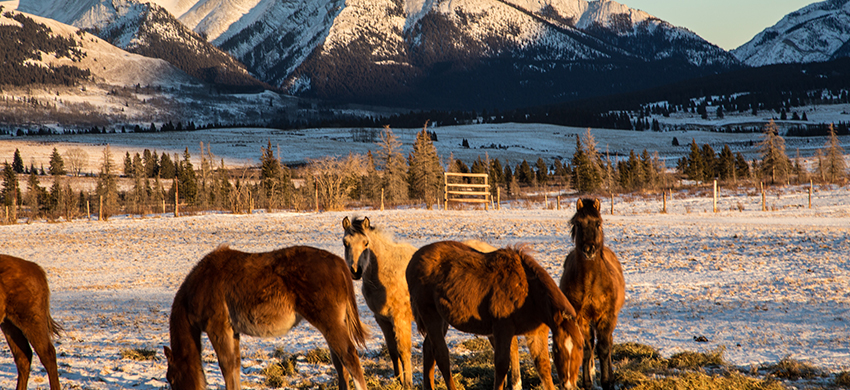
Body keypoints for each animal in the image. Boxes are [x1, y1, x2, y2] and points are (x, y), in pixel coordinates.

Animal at [164, 247, 366, 390]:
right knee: (341, 365)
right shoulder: (233, 331)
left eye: (171, 379)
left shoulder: (218, 329)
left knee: (350, 358)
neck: (200, 286)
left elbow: (226, 366)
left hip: (330, 325)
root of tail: (339, 263)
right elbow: (235, 365)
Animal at [340, 216, 416, 386]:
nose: (355, 271)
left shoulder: (400, 319)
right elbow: (393, 351)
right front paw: (398, 380)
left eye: (366, 243)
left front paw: (408, 383)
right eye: (345, 242)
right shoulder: (383, 319)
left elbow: (403, 351)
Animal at [406, 241, 584, 390]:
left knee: (428, 349)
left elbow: (543, 366)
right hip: (430, 315)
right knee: (441, 354)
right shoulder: (502, 330)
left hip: (442, 319)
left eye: (581, 347)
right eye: (557, 349)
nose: (568, 384)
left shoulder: (537, 332)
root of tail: (413, 259)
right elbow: (502, 365)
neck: (529, 292)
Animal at [556, 200, 624, 390]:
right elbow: (587, 349)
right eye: (578, 223)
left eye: (598, 223)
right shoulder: (582, 318)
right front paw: (587, 382)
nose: (588, 249)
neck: (590, 283)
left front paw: (607, 382)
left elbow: (604, 348)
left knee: (608, 343)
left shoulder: (606, 317)